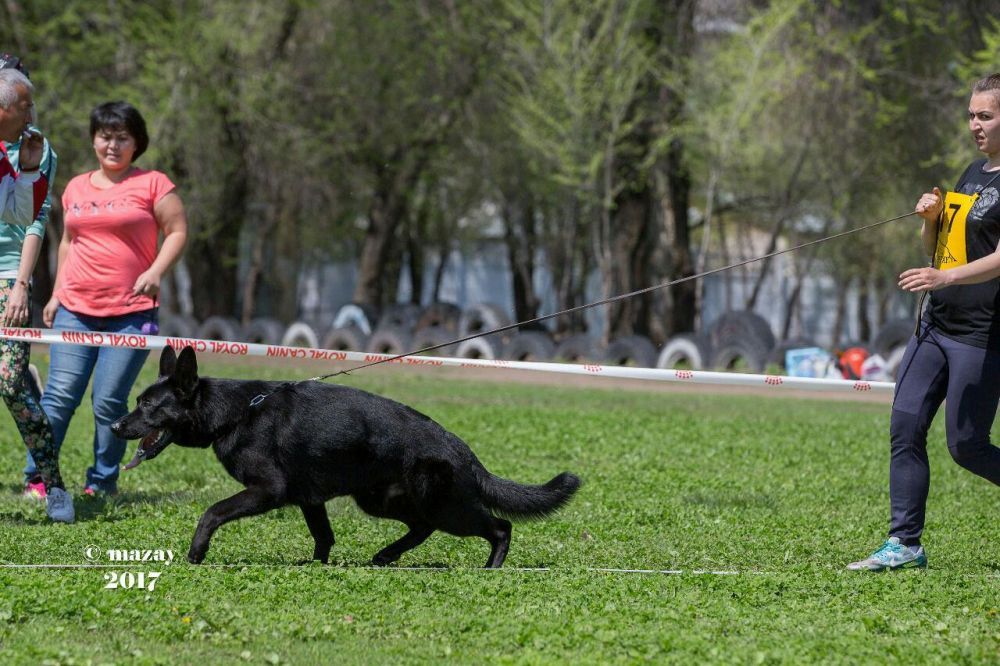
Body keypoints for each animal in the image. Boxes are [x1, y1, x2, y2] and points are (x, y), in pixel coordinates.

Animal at [111, 344, 580, 568]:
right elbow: (324, 537)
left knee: (499, 527)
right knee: (422, 526)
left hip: (445, 507)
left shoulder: (268, 491)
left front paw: (197, 552)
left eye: (149, 407)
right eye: (137, 401)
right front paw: (316, 567)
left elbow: (211, 511)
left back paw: (492, 568)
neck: (234, 412)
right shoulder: (309, 500)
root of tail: (459, 445)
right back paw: (387, 556)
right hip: (382, 501)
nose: (115, 426)